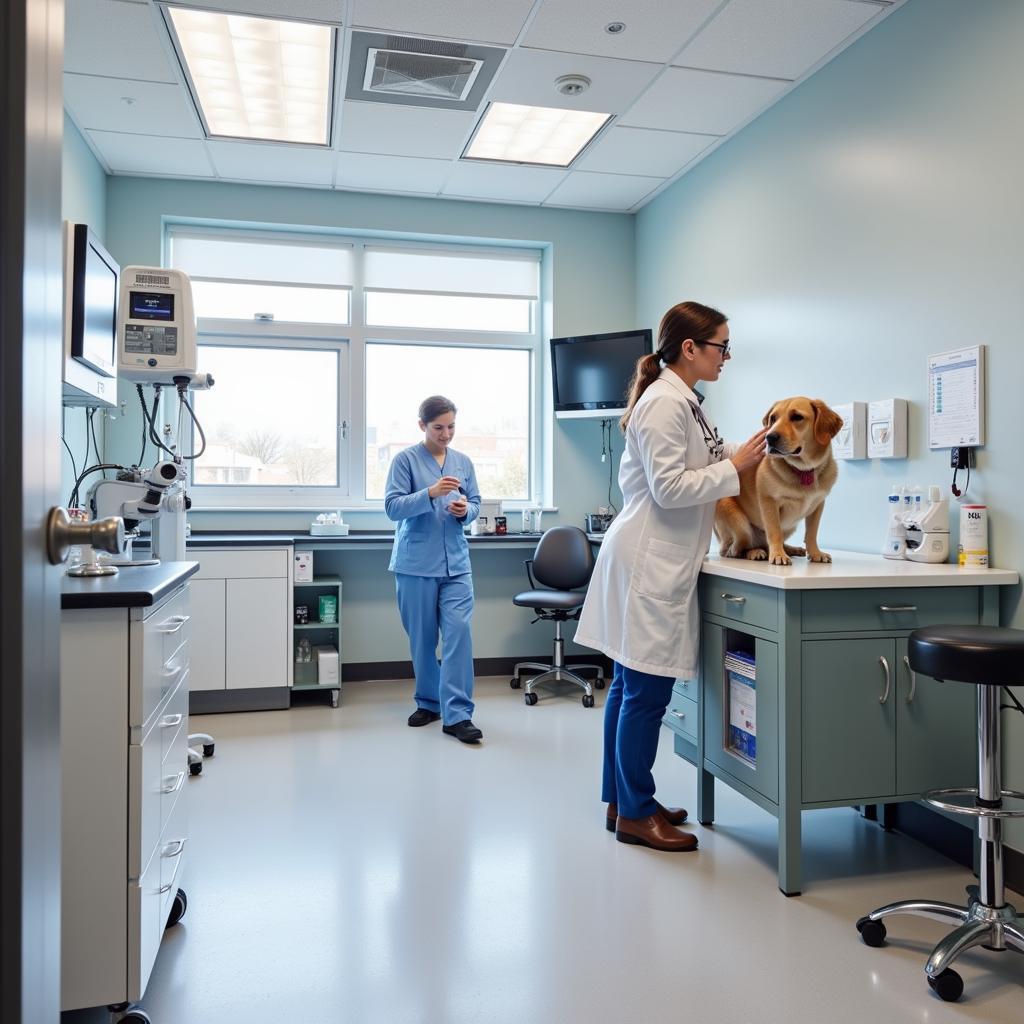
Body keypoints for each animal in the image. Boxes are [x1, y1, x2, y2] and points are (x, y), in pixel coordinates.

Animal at [716, 393, 843, 569]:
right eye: (773, 418)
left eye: (797, 417)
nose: (769, 437)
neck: (804, 470)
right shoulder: (769, 502)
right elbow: (774, 532)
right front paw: (778, 555)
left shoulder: (818, 505)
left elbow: (811, 533)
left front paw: (815, 553)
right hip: (737, 520)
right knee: (734, 549)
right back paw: (755, 552)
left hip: (790, 526)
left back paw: (791, 549)